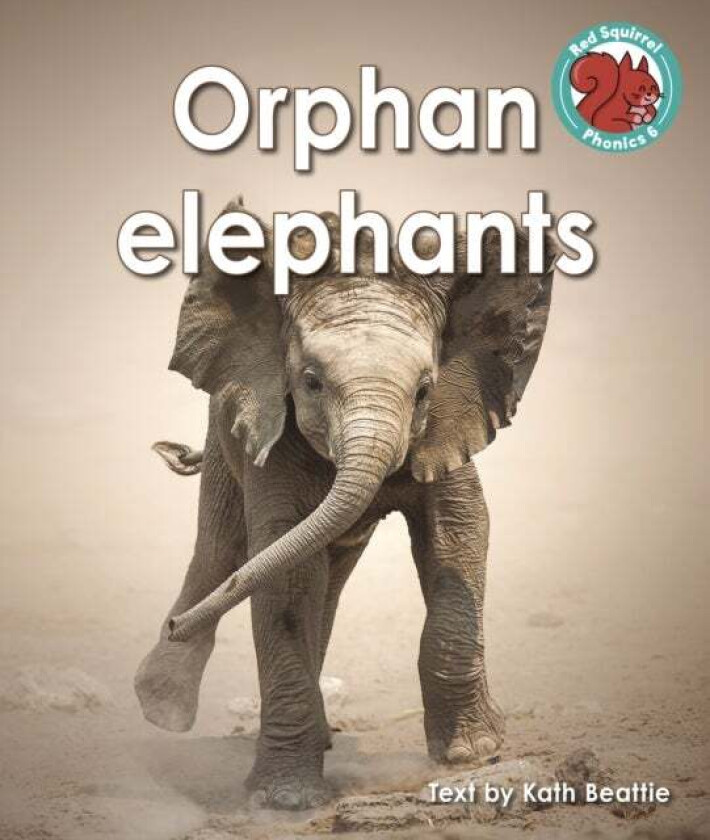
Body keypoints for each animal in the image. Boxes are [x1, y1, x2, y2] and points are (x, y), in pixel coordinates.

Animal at [135, 199, 555, 810]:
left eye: (424, 391)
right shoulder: (271, 431)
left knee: (319, 576)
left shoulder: (453, 418)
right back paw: (162, 708)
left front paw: (473, 753)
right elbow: (281, 572)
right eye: (310, 382)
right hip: (223, 434)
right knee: (223, 551)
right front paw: (285, 800)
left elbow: (459, 530)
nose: (174, 627)